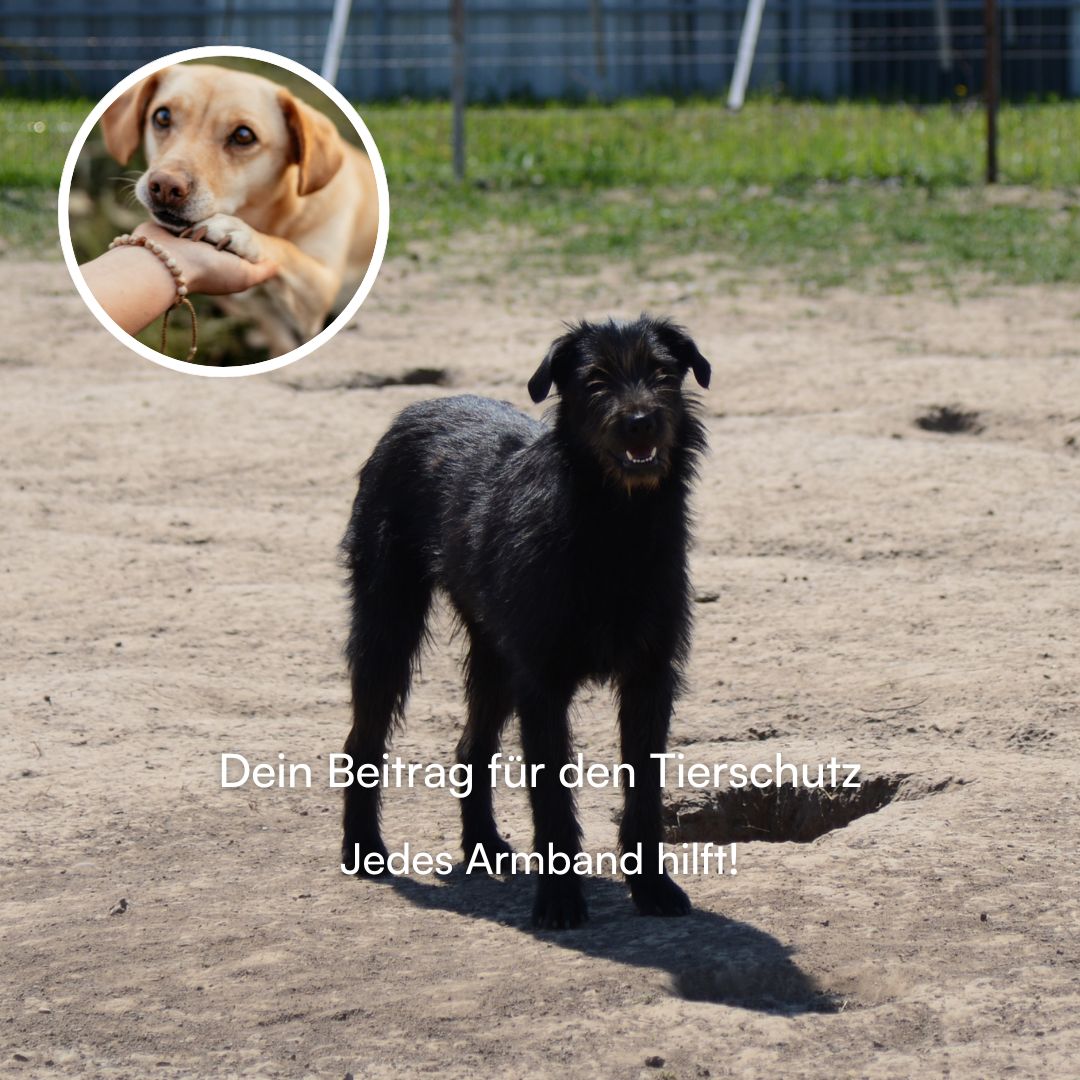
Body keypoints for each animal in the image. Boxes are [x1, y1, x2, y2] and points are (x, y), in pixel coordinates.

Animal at [101, 62, 380, 358]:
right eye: (162, 117)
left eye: (243, 136)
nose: (164, 186)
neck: (276, 217)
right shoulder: (259, 311)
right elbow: (279, 339)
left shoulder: (319, 292)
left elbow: (287, 250)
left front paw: (243, 233)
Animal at [336, 313, 708, 928]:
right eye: (595, 380)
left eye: (661, 373)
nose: (639, 422)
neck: (614, 526)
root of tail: (413, 412)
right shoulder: (542, 685)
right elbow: (552, 798)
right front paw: (560, 902)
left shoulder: (650, 679)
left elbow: (645, 792)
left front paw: (653, 888)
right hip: (387, 628)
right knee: (363, 742)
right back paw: (362, 848)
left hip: (493, 656)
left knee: (472, 747)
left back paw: (483, 844)